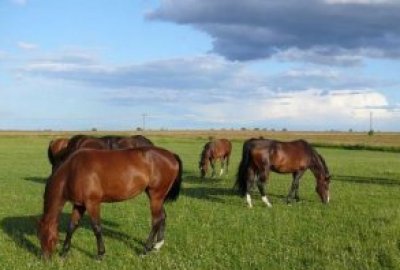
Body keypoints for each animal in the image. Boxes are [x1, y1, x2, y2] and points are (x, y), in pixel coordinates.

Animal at [38, 147, 182, 260]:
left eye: (44, 235)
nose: (45, 258)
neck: (73, 170)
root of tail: (171, 155)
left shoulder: (92, 203)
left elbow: (96, 228)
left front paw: (100, 254)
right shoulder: (79, 205)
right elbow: (72, 226)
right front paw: (64, 252)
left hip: (155, 196)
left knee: (156, 220)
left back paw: (145, 250)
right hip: (157, 197)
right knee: (162, 217)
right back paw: (157, 245)